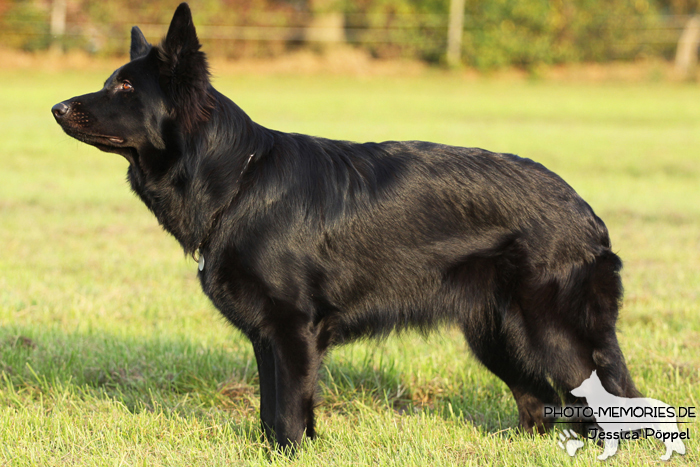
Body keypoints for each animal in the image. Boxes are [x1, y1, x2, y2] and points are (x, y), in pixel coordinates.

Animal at [52, 1, 636, 452]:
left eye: (126, 87)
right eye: (109, 83)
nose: (56, 107)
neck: (237, 180)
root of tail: (585, 211)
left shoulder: (292, 332)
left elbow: (287, 415)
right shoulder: (268, 339)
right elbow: (272, 413)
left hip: (555, 337)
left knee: (608, 401)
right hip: (496, 336)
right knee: (541, 404)